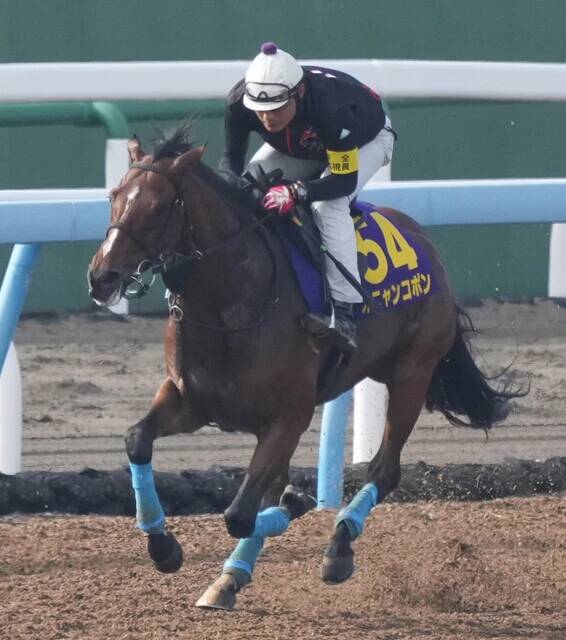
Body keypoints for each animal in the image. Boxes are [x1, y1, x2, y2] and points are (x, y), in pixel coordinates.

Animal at [87, 123, 521, 608]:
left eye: (159, 207)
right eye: (113, 195)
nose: (101, 277)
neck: (231, 302)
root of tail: (423, 241)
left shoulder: (289, 416)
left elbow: (241, 514)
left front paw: (297, 504)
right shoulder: (191, 401)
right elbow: (138, 440)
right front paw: (164, 547)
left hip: (413, 371)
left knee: (383, 470)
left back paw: (338, 546)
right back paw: (232, 575)